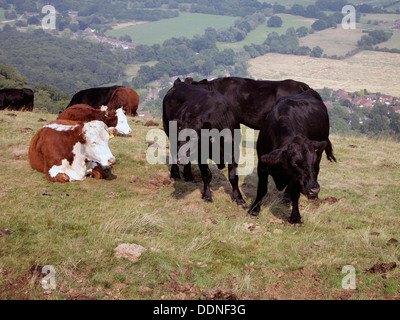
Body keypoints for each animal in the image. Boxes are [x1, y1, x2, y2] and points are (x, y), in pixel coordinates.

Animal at [163, 77, 245, 208]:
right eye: (181, 135)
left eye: (195, 138)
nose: (179, 159)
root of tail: (179, 83)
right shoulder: (201, 154)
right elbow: (207, 174)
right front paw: (207, 195)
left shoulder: (234, 151)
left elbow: (233, 176)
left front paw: (239, 198)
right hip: (167, 128)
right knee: (172, 150)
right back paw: (175, 174)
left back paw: (188, 176)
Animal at [248, 89, 336, 225]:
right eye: (295, 162)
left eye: (311, 161)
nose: (314, 189)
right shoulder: (262, 165)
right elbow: (262, 188)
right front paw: (254, 209)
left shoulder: (298, 177)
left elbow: (296, 194)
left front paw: (295, 217)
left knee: (317, 171)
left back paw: (311, 197)